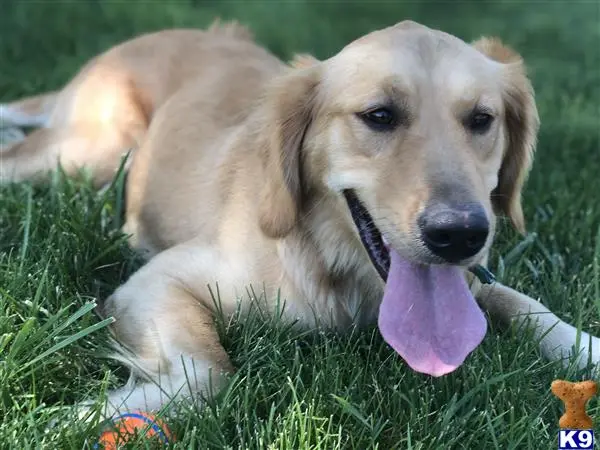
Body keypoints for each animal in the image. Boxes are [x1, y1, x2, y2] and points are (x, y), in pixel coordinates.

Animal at [0, 19, 596, 416]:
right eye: (379, 116)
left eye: (481, 120)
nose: (461, 235)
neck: (338, 272)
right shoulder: (155, 281)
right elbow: (209, 373)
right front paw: (90, 416)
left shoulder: (474, 283)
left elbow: (527, 305)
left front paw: (585, 349)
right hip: (87, 156)